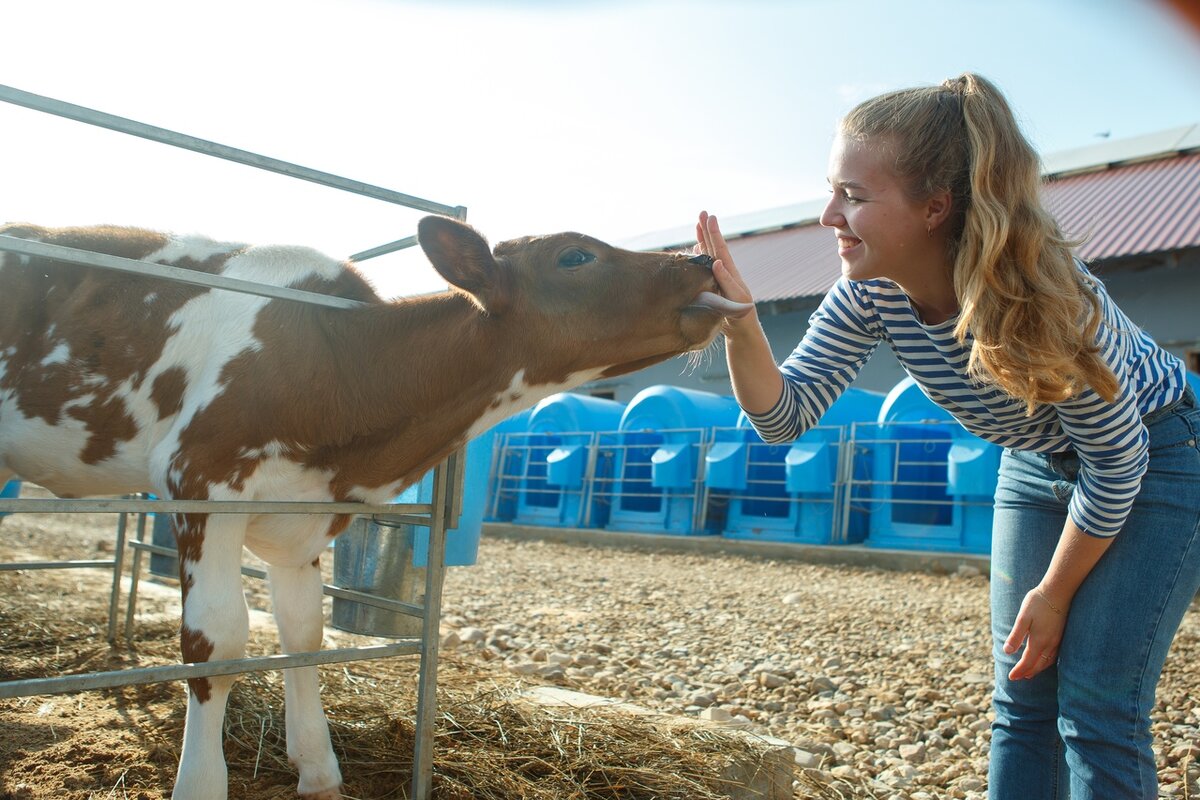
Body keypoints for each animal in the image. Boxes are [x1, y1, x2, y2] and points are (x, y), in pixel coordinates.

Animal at [0, 215, 748, 796]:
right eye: (574, 256)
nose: (702, 261)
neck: (345, 368)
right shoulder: (199, 478)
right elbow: (216, 642)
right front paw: (202, 785)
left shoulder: (304, 516)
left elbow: (303, 635)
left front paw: (319, 770)